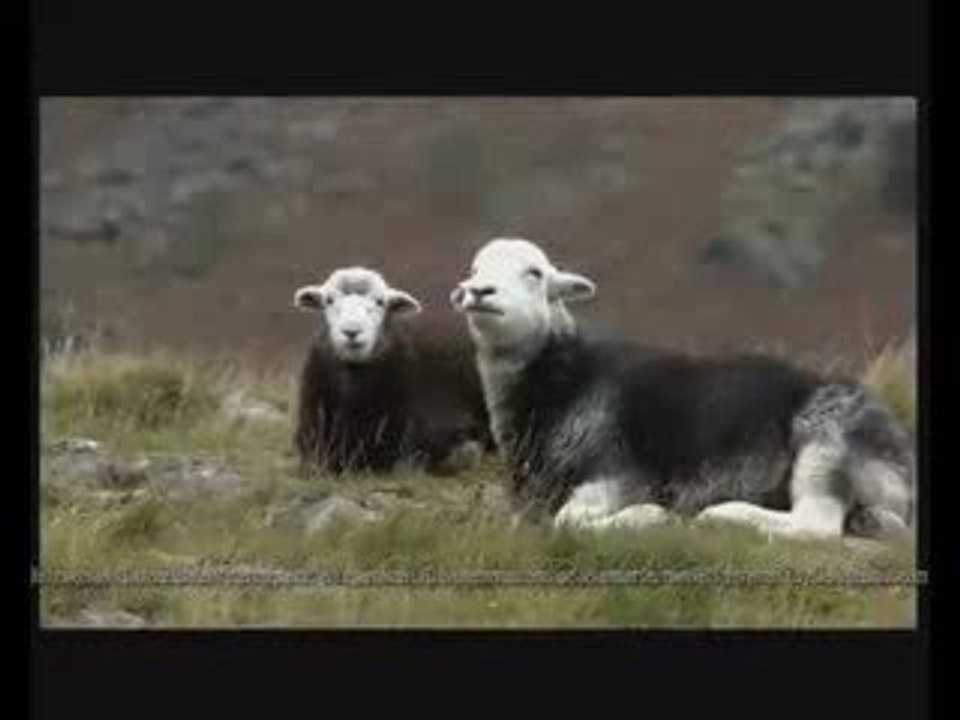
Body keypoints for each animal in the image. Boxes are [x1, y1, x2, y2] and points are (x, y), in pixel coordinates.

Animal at [450, 237, 915, 540]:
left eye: (535, 273)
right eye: (474, 269)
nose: (478, 291)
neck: (561, 379)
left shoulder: (618, 472)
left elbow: (568, 521)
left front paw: (649, 517)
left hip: (828, 440)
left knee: (816, 525)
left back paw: (723, 515)